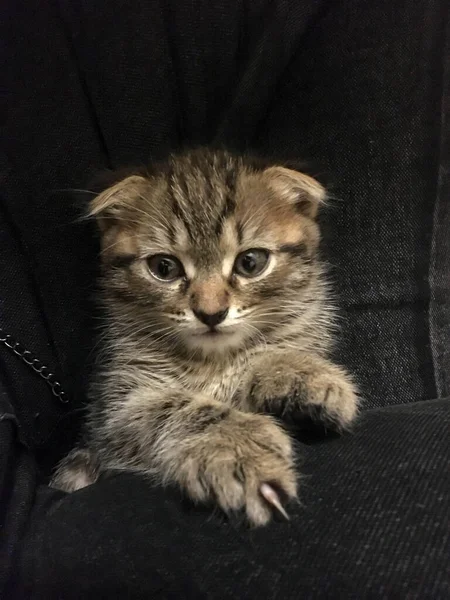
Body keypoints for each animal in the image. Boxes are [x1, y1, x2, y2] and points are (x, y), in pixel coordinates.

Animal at [50, 149, 358, 524]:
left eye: (250, 262)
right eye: (164, 268)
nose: (211, 313)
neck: (213, 360)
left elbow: (266, 354)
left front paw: (300, 373)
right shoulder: (114, 413)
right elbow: (175, 408)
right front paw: (239, 449)